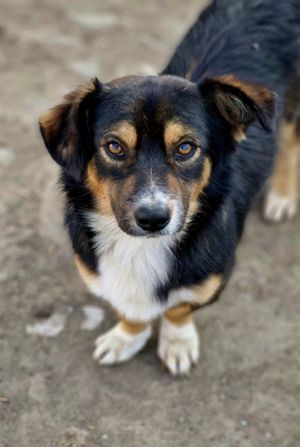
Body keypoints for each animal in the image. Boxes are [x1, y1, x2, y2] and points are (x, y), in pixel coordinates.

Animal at [39, 0, 300, 376]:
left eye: (186, 147)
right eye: (114, 146)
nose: (153, 218)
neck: (140, 248)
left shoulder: (209, 278)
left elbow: (179, 308)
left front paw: (177, 344)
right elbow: (130, 310)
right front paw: (126, 337)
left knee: (290, 140)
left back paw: (282, 195)